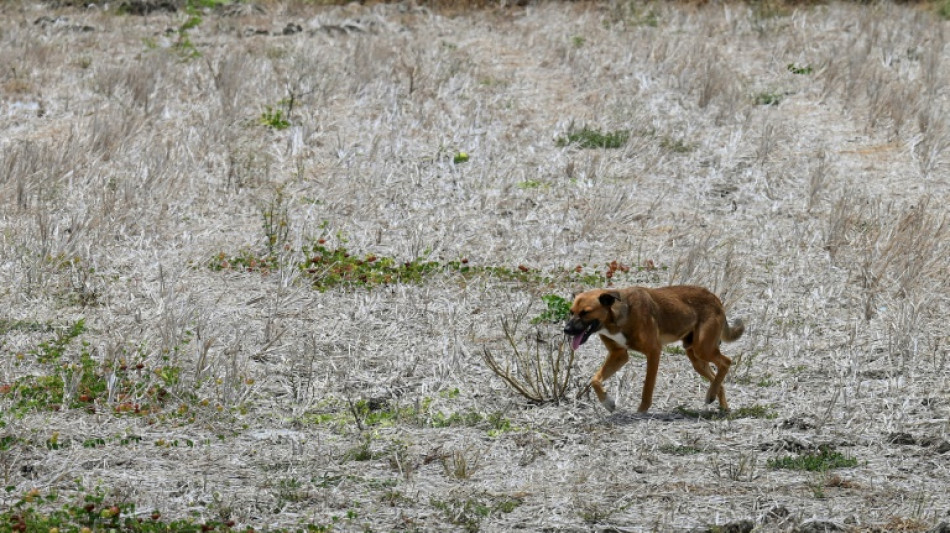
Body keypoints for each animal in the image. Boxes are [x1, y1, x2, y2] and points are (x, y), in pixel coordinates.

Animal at [564, 286, 744, 412]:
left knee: (726, 362)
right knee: (718, 377)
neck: (616, 318)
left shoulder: (653, 352)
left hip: (703, 349)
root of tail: (716, 299)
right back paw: (719, 403)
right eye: (571, 312)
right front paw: (607, 402)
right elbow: (594, 380)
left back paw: (712, 395)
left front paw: (641, 411)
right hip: (696, 358)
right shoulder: (619, 355)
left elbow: (647, 388)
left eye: (585, 312)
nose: (566, 330)